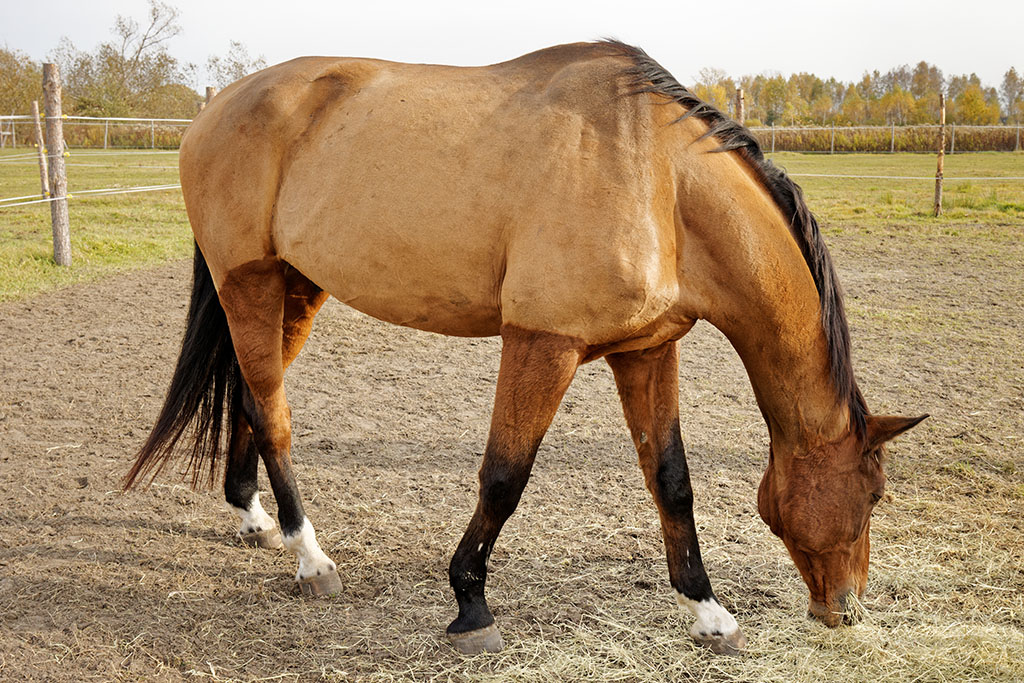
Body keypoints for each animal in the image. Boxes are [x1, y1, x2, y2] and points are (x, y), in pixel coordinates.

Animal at [125, 40, 926, 655]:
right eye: (875, 493)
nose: (844, 608)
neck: (660, 179)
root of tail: (214, 111)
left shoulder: (646, 351)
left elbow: (671, 480)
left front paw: (709, 614)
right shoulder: (544, 343)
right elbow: (504, 477)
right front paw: (470, 605)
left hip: (296, 288)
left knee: (249, 398)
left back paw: (254, 519)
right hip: (251, 285)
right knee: (272, 412)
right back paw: (311, 558)